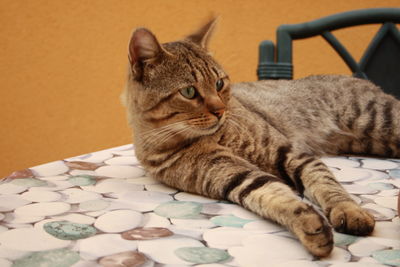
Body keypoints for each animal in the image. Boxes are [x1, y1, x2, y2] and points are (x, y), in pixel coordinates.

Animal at [122, 18, 400, 258]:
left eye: (219, 83)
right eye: (189, 92)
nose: (220, 111)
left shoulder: (290, 154)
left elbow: (326, 184)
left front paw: (349, 211)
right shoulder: (233, 176)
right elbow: (273, 194)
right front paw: (309, 224)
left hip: (379, 120)